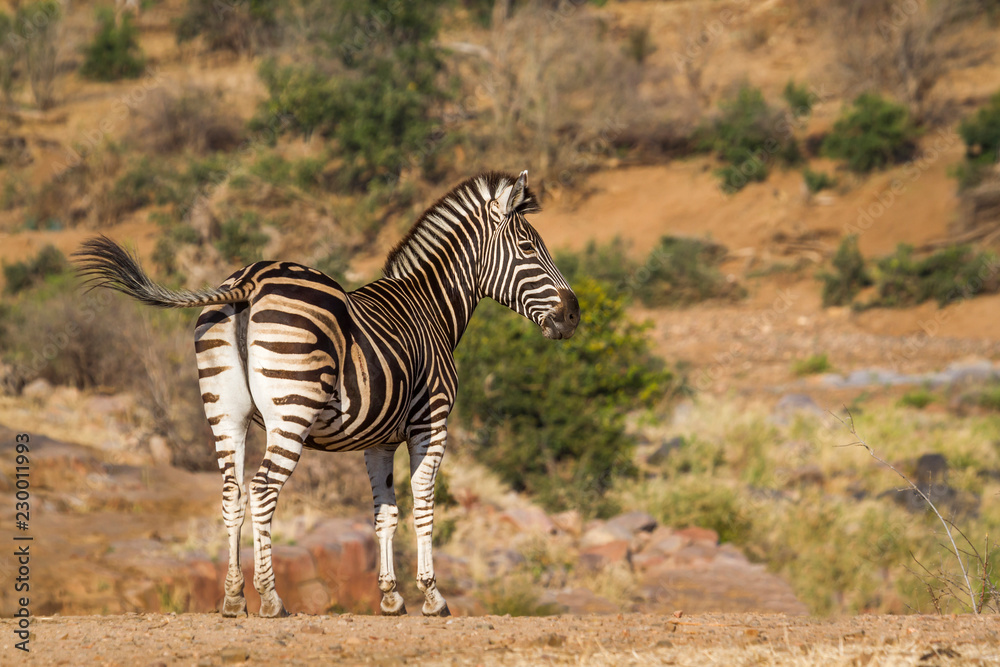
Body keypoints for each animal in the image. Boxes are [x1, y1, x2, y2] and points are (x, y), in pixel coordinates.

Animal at [75, 170, 580, 618]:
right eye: (528, 248)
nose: (574, 316)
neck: (431, 306)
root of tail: (250, 278)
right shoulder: (431, 422)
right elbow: (423, 503)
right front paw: (432, 597)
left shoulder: (379, 440)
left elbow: (385, 512)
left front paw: (390, 597)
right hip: (292, 411)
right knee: (262, 489)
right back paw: (271, 600)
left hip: (224, 413)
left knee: (232, 492)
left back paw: (234, 599)